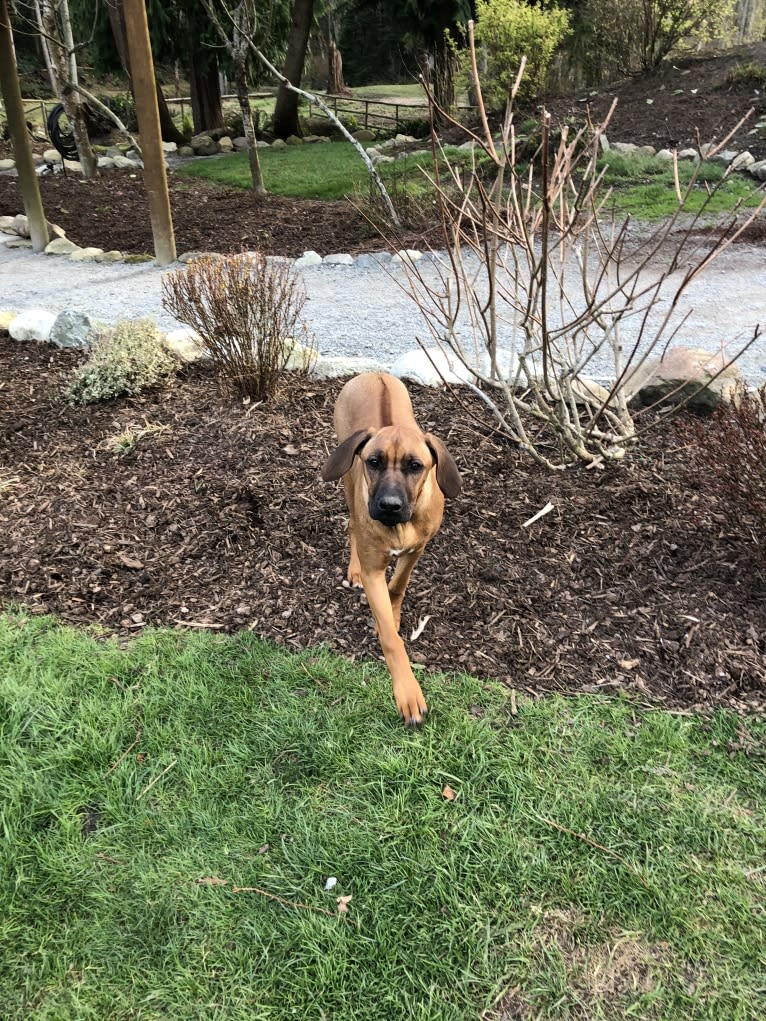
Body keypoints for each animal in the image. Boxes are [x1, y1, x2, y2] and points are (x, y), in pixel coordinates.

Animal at [322, 371, 461, 722]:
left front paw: (395, 613)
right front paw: (408, 693)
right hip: (348, 477)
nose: (389, 505)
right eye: (374, 462)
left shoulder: (418, 548)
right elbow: (389, 636)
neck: (398, 527)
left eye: (415, 466)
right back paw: (354, 567)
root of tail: (374, 374)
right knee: (352, 524)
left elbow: (397, 585)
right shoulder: (374, 570)